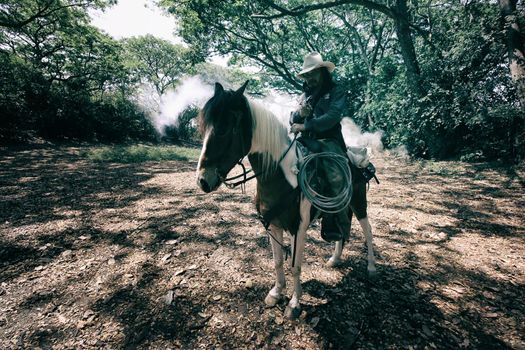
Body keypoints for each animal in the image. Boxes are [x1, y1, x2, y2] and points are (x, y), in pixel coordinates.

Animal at [194, 80, 374, 318]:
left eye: (223, 128)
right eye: (203, 128)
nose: (202, 181)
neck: (281, 176)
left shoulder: (298, 227)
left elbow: (295, 266)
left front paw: (294, 303)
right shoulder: (272, 224)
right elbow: (278, 261)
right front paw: (277, 292)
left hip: (359, 202)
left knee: (367, 230)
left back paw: (372, 267)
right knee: (343, 229)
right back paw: (335, 259)